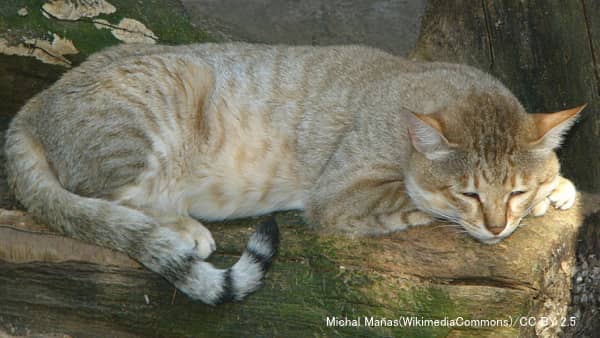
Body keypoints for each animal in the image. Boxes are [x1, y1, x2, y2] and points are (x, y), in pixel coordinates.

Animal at [4, 42, 584, 304]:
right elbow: (413, 201)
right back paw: (184, 229)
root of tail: (34, 104)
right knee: (105, 202)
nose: (497, 229)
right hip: (159, 107)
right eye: (469, 193)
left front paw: (556, 187)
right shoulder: (341, 195)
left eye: (514, 189)